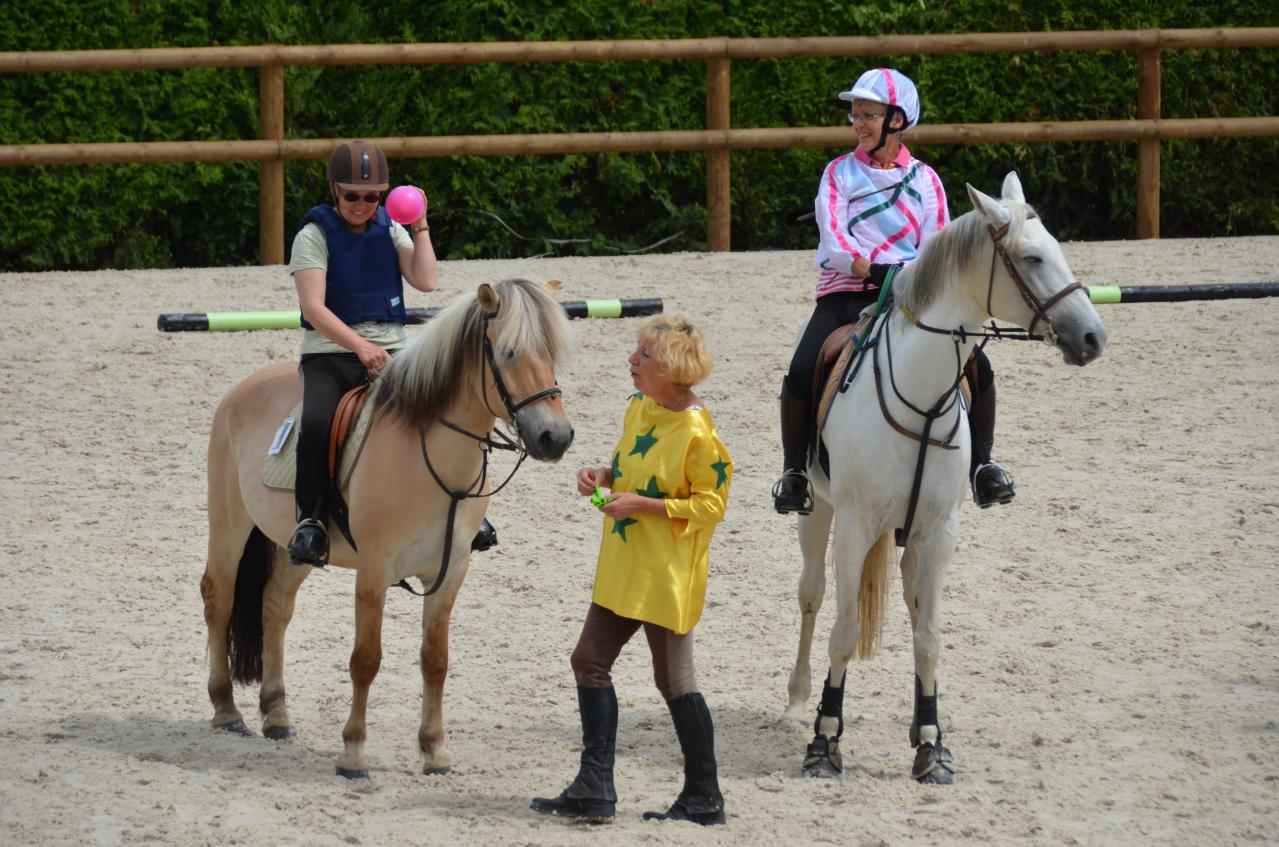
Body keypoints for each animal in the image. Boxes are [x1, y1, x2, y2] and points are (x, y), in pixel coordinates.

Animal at [200, 278, 575, 777]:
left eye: (551, 352)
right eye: (510, 352)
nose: (556, 438)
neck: (431, 456)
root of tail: (239, 392)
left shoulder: (450, 571)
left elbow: (435, 660)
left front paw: (434, 751)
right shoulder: (374, 571)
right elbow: (365, 659)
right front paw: (353, 753)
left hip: (294, 546)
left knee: (274, 605)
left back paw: (277, 716)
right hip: (230, 526)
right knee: (218, 599)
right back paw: (226, 710)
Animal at [777, 171, 1110, 783]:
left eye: (1058, 250)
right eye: (1031, 258)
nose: (1093, 338)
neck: (922, 398)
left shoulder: (939, 532)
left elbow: (928, 638)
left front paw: (930, 746)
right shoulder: (854, 528)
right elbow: (842, 633)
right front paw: (824, 741)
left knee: (911, 610)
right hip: (819, 513)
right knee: (811, 598)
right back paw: (795, 704)